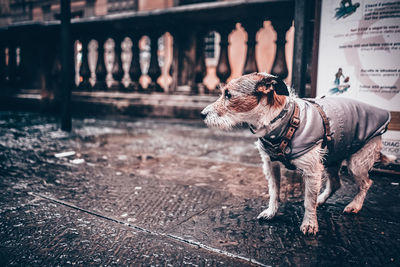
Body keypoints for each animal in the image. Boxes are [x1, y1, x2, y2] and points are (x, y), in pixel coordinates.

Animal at [202, 72, 392, 236]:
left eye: (228, 95)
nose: (202, 114)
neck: (280, 122)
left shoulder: (312, 171)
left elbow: (308, 201)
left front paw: (310, 223)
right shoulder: (271, 165)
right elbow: (274, 191)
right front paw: (271, 212)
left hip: (357, 163)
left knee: (366, 183)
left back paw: (355, 205)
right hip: (332, 157)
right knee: (336, 183)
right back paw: (322, 199)